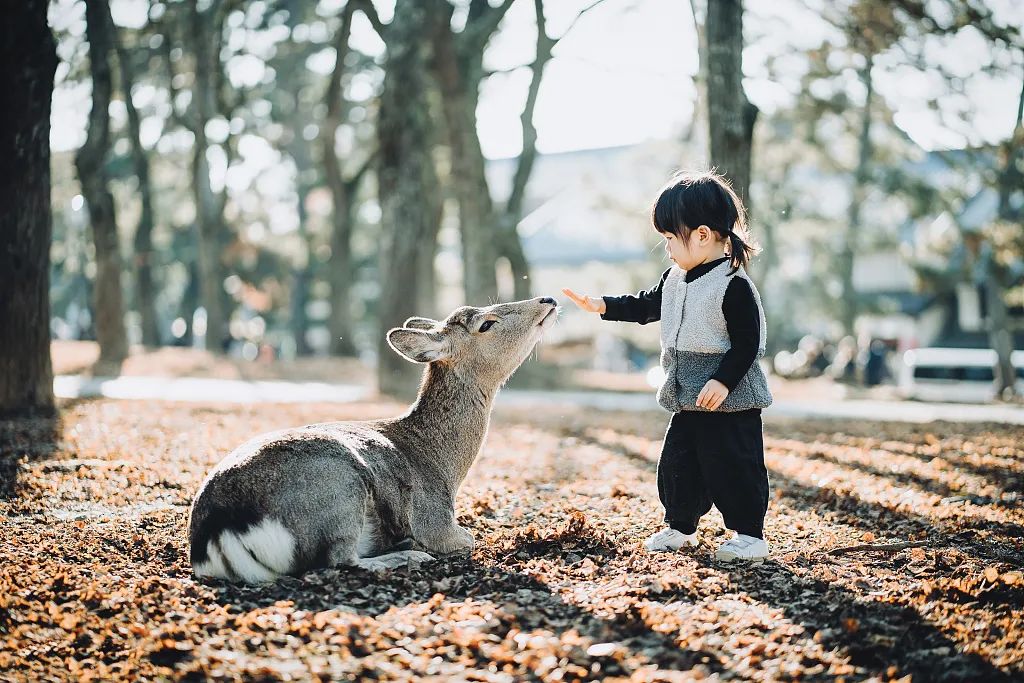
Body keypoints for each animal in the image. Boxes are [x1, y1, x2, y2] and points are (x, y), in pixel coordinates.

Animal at [191, 294, 561, 581]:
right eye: (486, 324)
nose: (548, 300)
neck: (443, 466)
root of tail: (217, 536)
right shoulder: (437, 522)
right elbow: (467, 538)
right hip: (337, 491)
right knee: (337, 561)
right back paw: (410, 554)